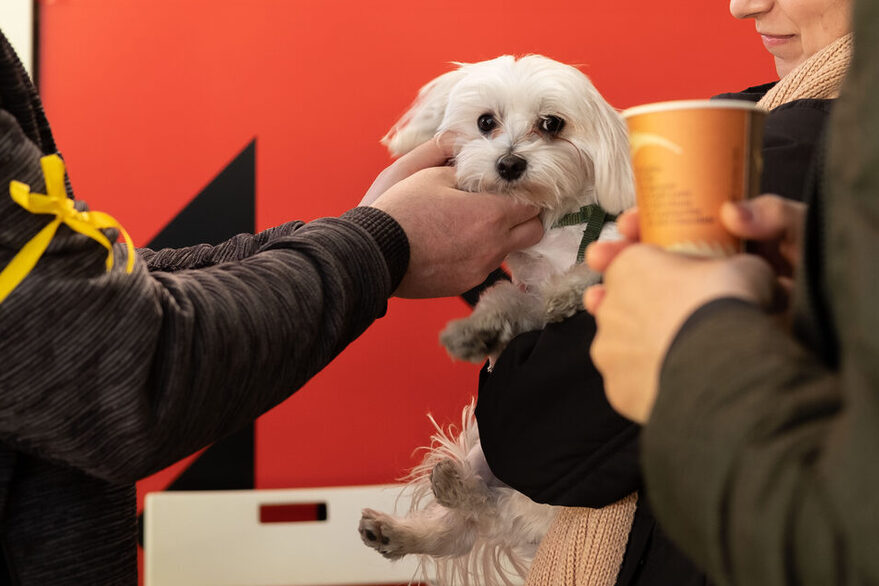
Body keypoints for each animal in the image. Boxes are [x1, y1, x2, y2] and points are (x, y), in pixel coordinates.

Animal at [360, 56, 636, 584]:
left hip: (530, 497)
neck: (558, 228)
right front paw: (478, 331)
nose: (509, 164)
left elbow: (593, 271)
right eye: (486, 121)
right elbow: (505, 299)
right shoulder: (525, 296)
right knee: (465, 525)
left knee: (491, 517)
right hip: (481, 453)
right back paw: (400, 528)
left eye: (551, 124)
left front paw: (569, 294)